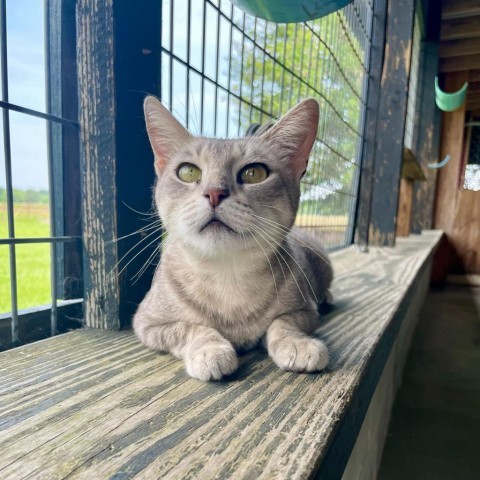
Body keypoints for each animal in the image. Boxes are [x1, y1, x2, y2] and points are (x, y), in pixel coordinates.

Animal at [133, 97, 332, 380]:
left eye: (254, 173)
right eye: (187, 172)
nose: (215, 193)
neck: (226, 273)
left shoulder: (306, 311)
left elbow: (282, 322)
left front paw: (297, 343)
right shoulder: (148, 322)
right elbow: (189, 327)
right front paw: (209, 349)